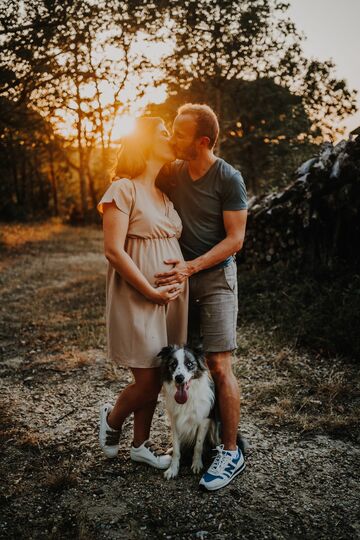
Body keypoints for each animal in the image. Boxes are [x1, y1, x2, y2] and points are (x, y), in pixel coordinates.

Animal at [158, 344, 219, 478]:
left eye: (189, 364)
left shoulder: (204, 420)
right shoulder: (174, 420)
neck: (188, 398)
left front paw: (196, 464)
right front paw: (173, 469)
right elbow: (176, 448)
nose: (179, 378)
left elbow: (198, 445)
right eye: (173, 364)